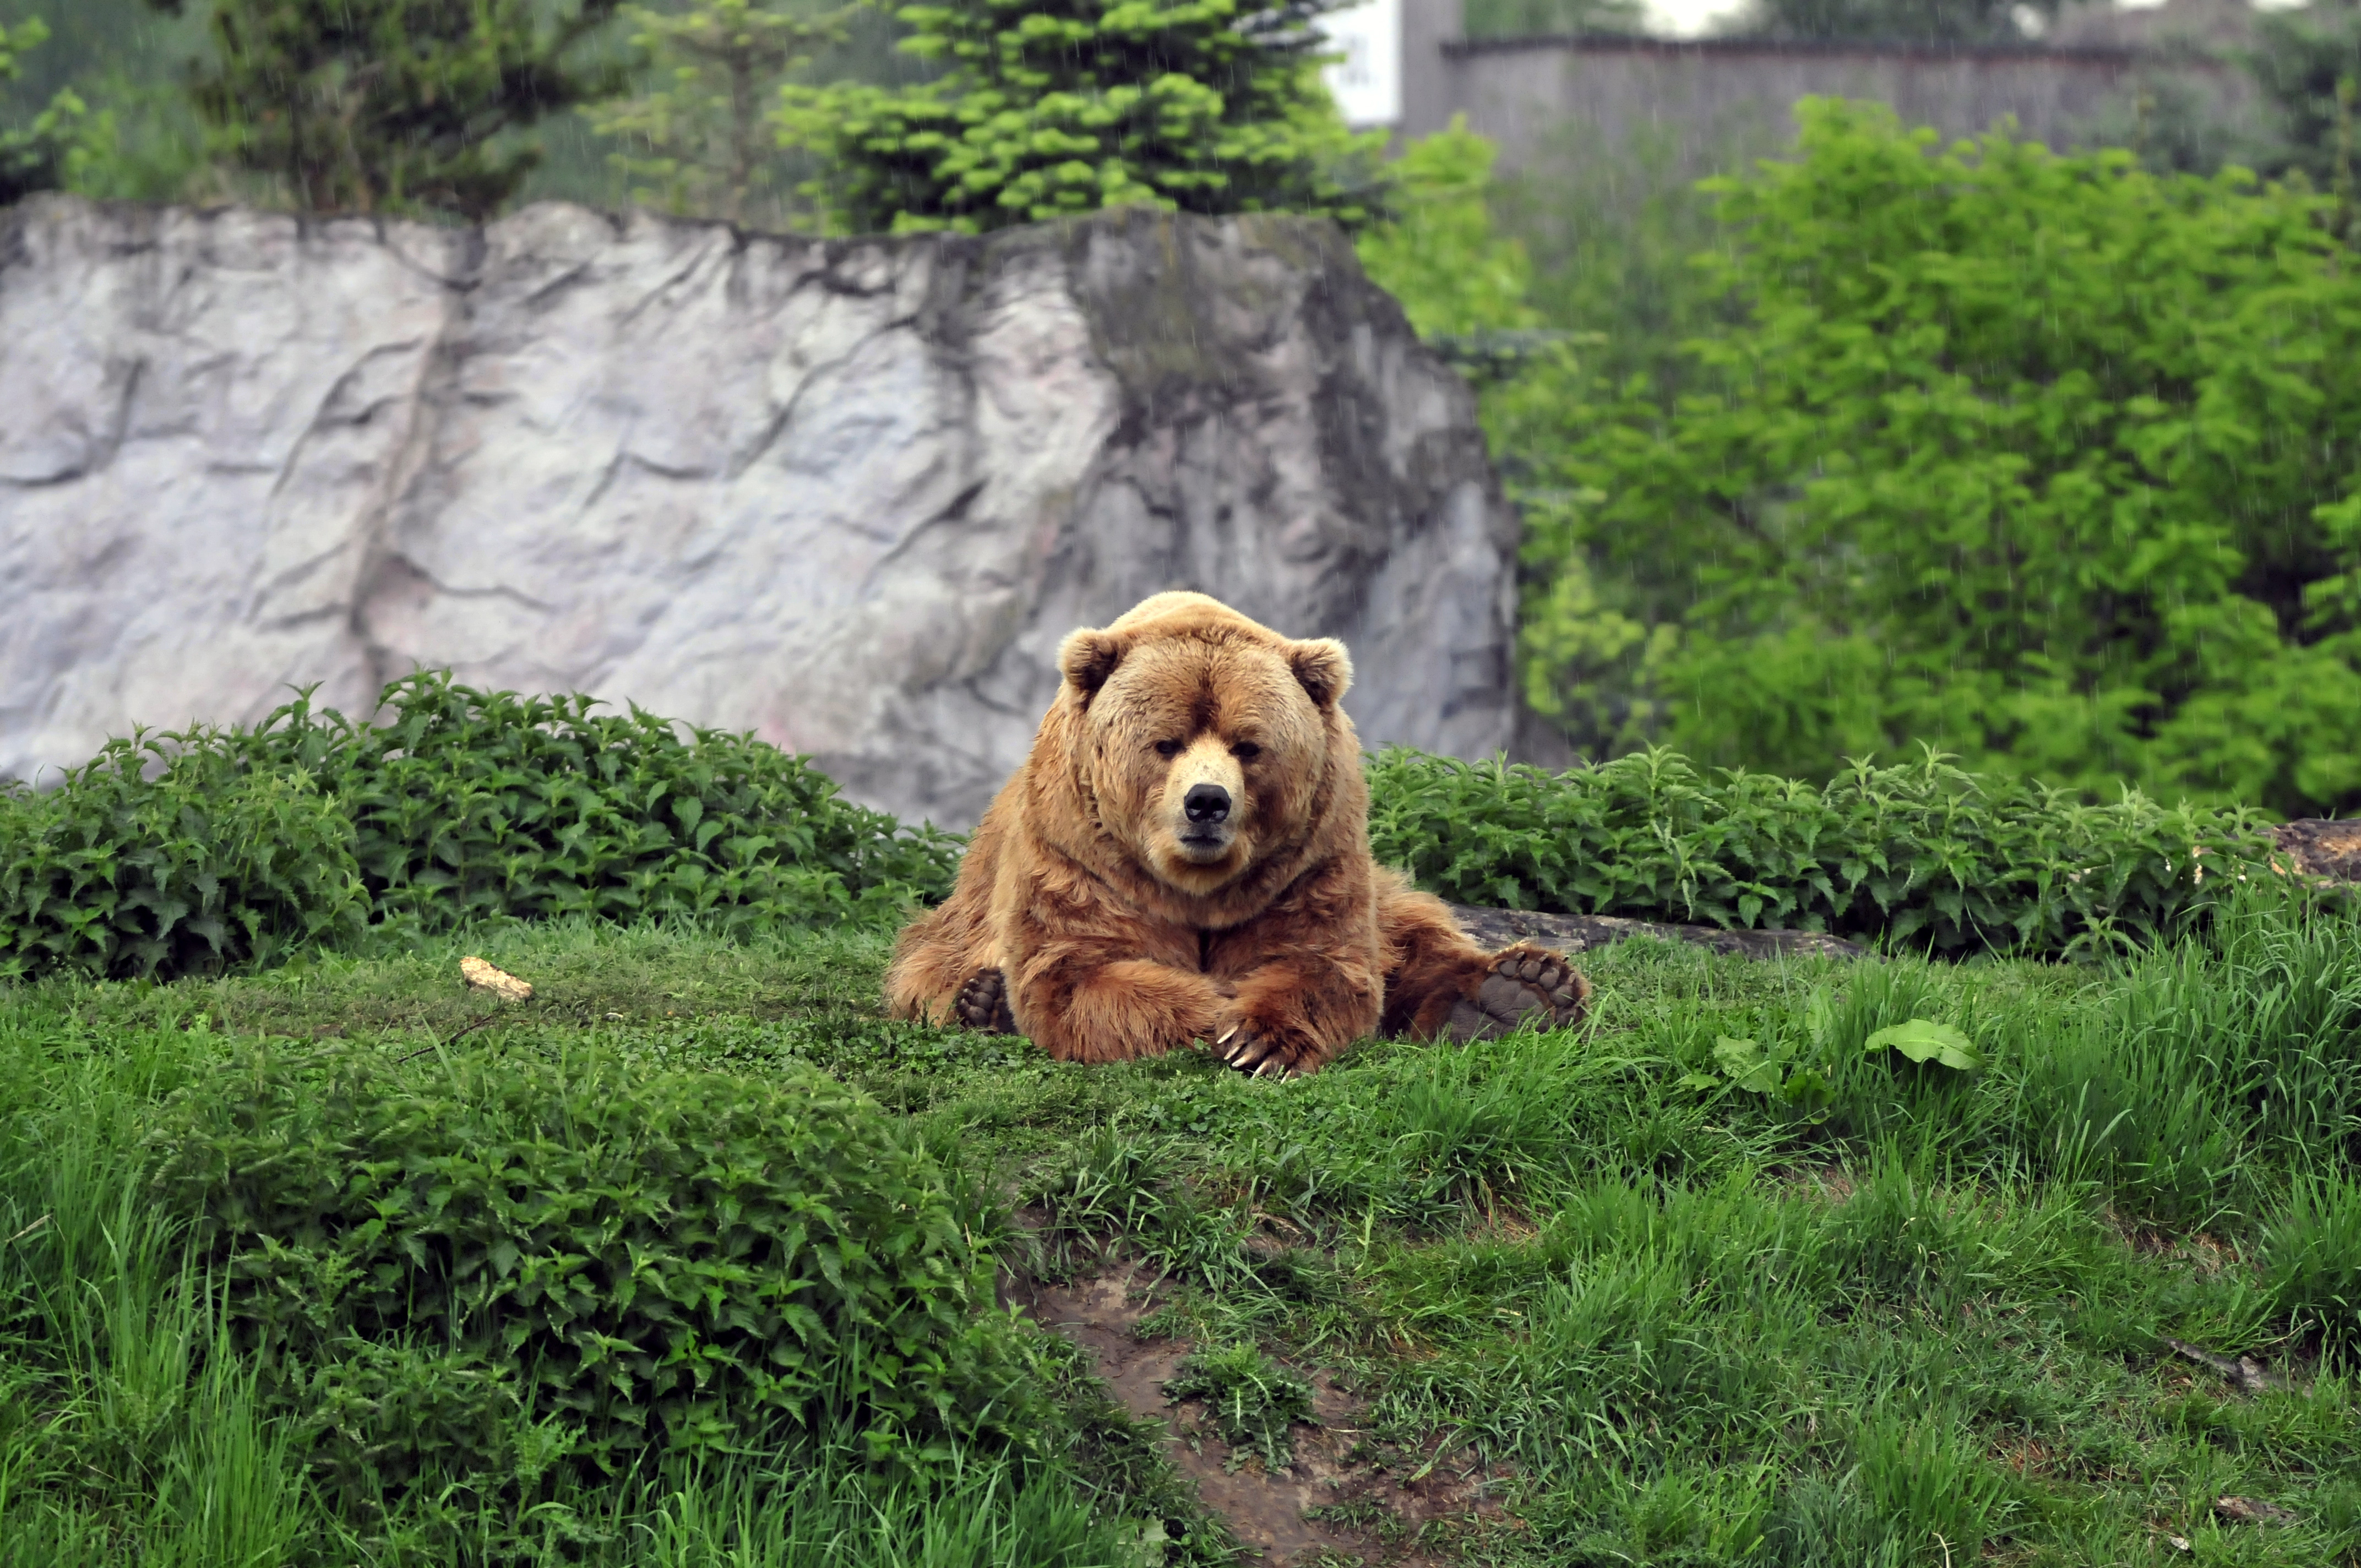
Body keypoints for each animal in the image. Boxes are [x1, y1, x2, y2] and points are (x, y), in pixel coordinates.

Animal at [888, 590, 1586, 1076]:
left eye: (1248, 745)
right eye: (1165, 742)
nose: (1206, 802)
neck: (1196, 886)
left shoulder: (1309, 862)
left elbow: (1325, 962)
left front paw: (1260, 1038)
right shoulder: (1080, 857)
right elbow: (1083, 971)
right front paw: (1214, 1014)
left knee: (1415, 933)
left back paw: (1520, 990)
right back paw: (982, 1002)